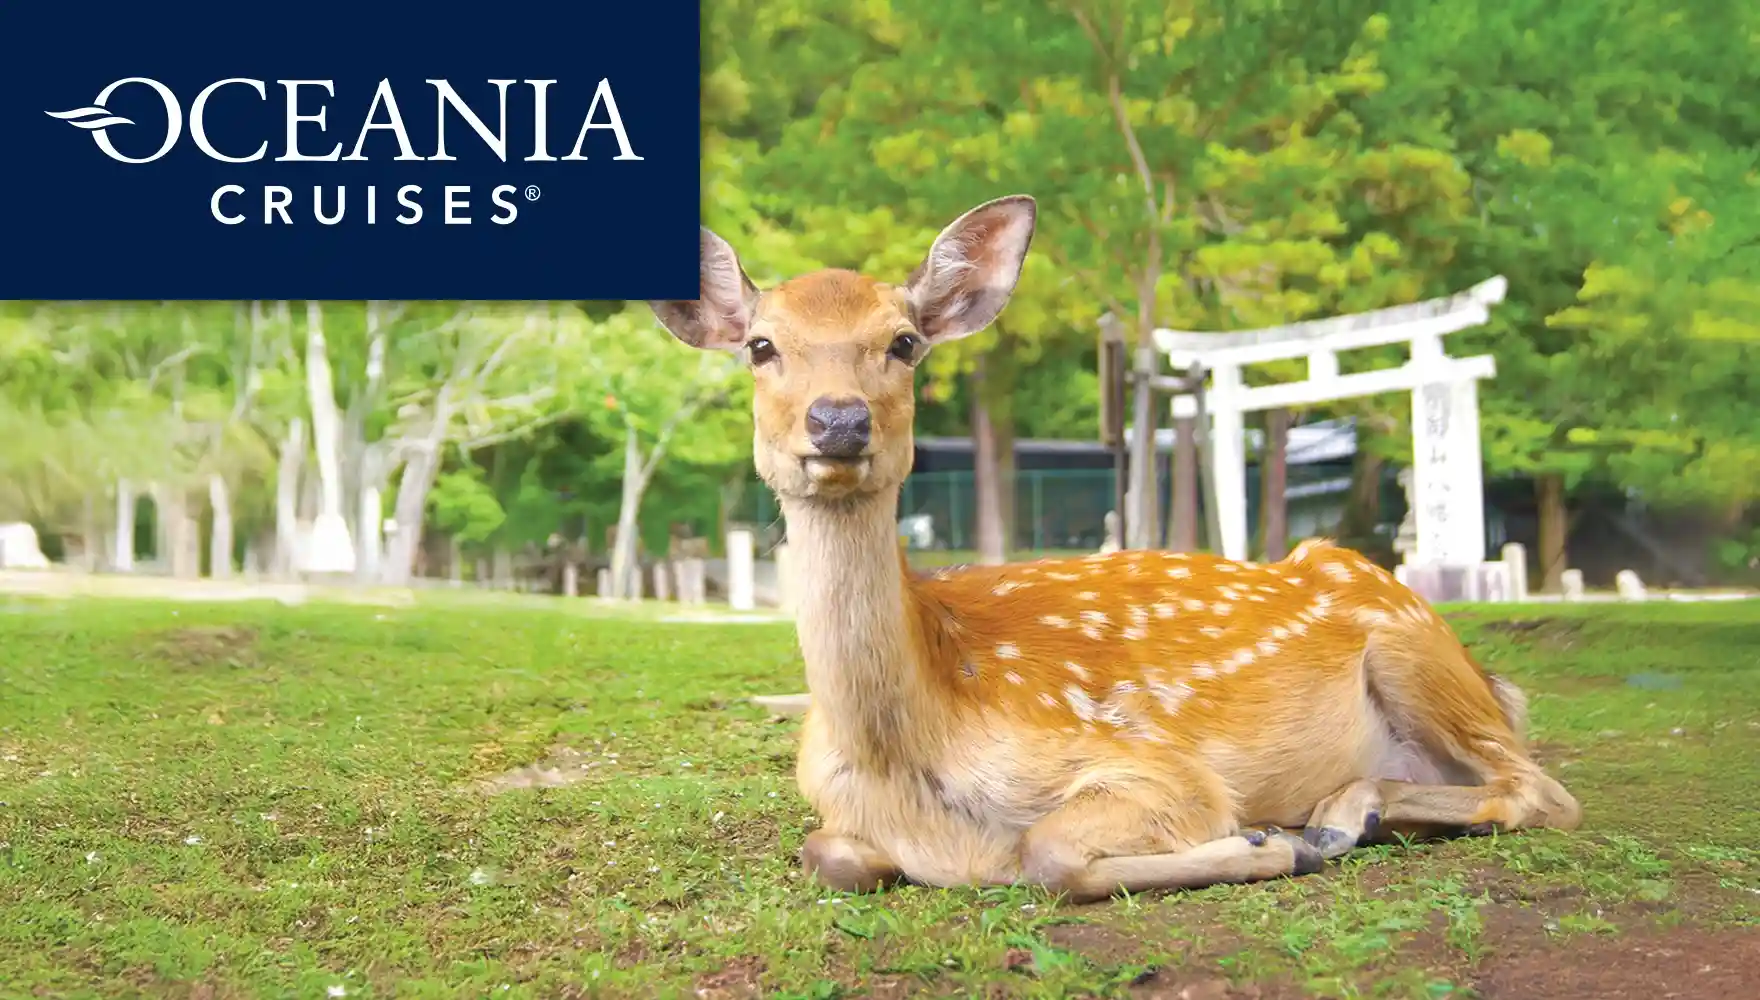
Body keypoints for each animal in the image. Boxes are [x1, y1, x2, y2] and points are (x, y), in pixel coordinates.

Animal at [647, 195, 1582, 903]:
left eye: (903, 342)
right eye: (760, 346)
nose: (838, 420)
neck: (904, 764)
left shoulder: (1159, 766)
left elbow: (1050, 853)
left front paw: (1265, 845)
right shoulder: (835, 815)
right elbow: (830, 855)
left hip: (1410, 646)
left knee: (1541, 788)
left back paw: (1338, 817)